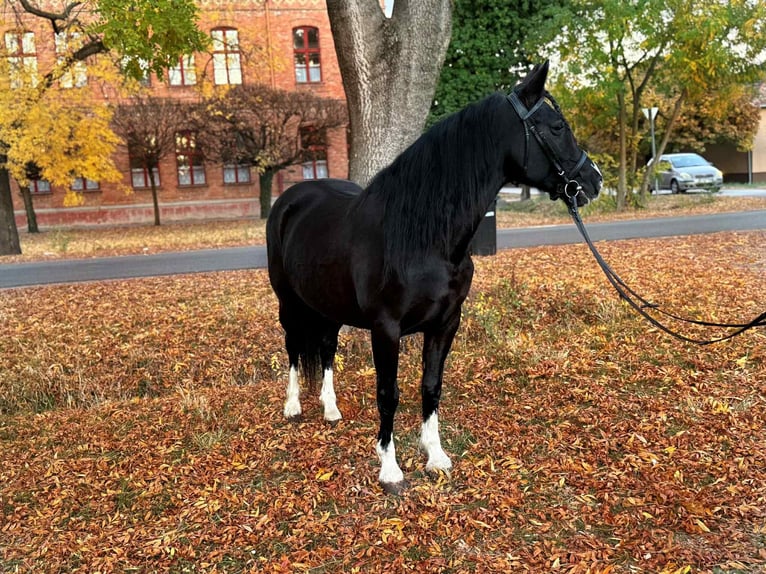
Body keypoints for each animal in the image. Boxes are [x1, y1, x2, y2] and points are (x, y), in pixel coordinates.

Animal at [266, 61, 603, 493]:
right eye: (557, 127)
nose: (593, 180)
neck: (422, 238)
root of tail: (291, 199)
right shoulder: (386, 329)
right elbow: (388, 393)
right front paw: (390, 468)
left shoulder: (445, 323)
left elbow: (430, 386)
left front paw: (435, 455)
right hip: (289, 301)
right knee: (294, 346)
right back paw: (293, 405)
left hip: (328, 305)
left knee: (325, 348)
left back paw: (330, 409)